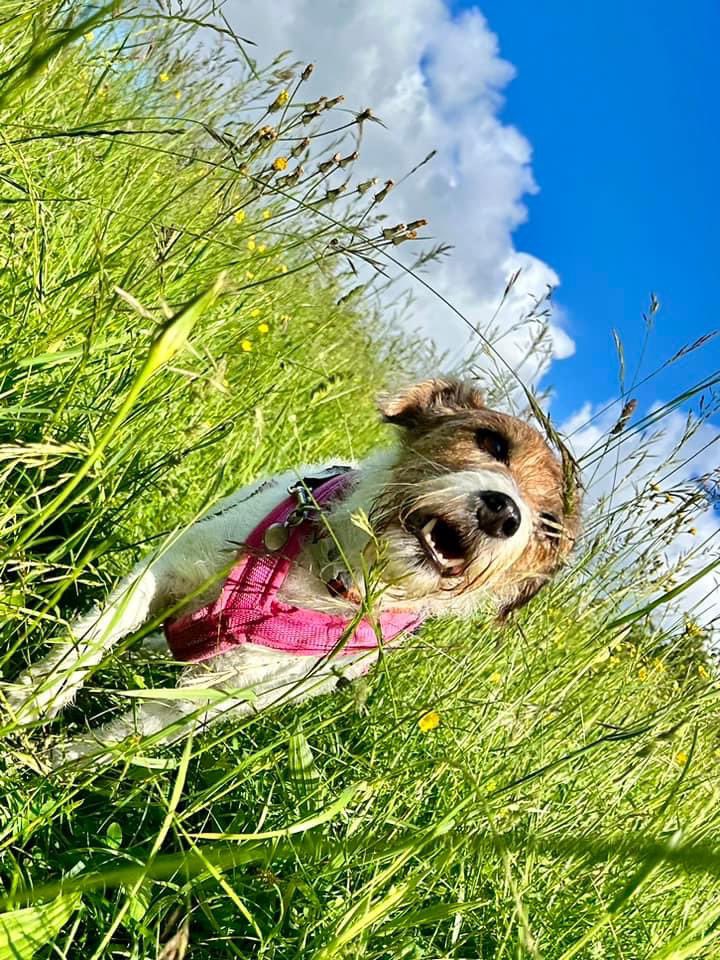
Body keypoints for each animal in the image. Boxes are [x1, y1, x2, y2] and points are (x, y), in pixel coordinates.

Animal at [4, 378, 580, 760]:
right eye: (492, 442)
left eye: (549, 526)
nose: (505, 513)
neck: (338, 573)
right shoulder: (164, 572)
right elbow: (88, 643)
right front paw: (30, 702)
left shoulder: (220, 697)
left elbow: (128, 734)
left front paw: (50, 766)